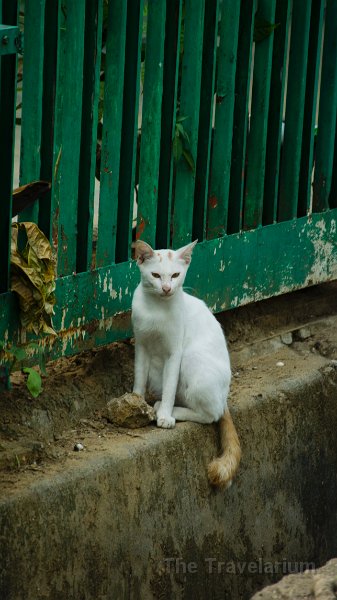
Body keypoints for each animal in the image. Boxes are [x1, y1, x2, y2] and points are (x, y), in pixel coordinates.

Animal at [132, 239, 242, 488]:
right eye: (155, 275)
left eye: (175, 275)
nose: (166, 288)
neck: (156, 310)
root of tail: (224, 398)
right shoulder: (141, 345)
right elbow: (139, 378)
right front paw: (135, 402)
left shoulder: (175, 352)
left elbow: (170, 385)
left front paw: (165, 416)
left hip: (192, 357)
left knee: (210, 415)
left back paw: (169, 409)